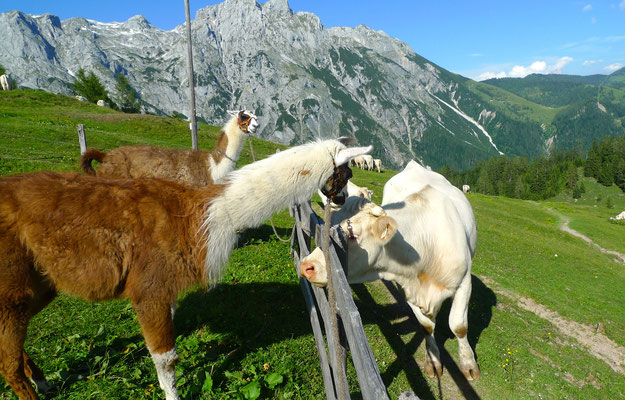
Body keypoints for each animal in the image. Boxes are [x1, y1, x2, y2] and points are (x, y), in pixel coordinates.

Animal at [300, 160, 480, 382]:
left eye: (352, 234)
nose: (306, 266)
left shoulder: (464, 282)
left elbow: (459, 326)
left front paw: (469, 364)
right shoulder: (408, 288)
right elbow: (427, 326)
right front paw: (433, 360)